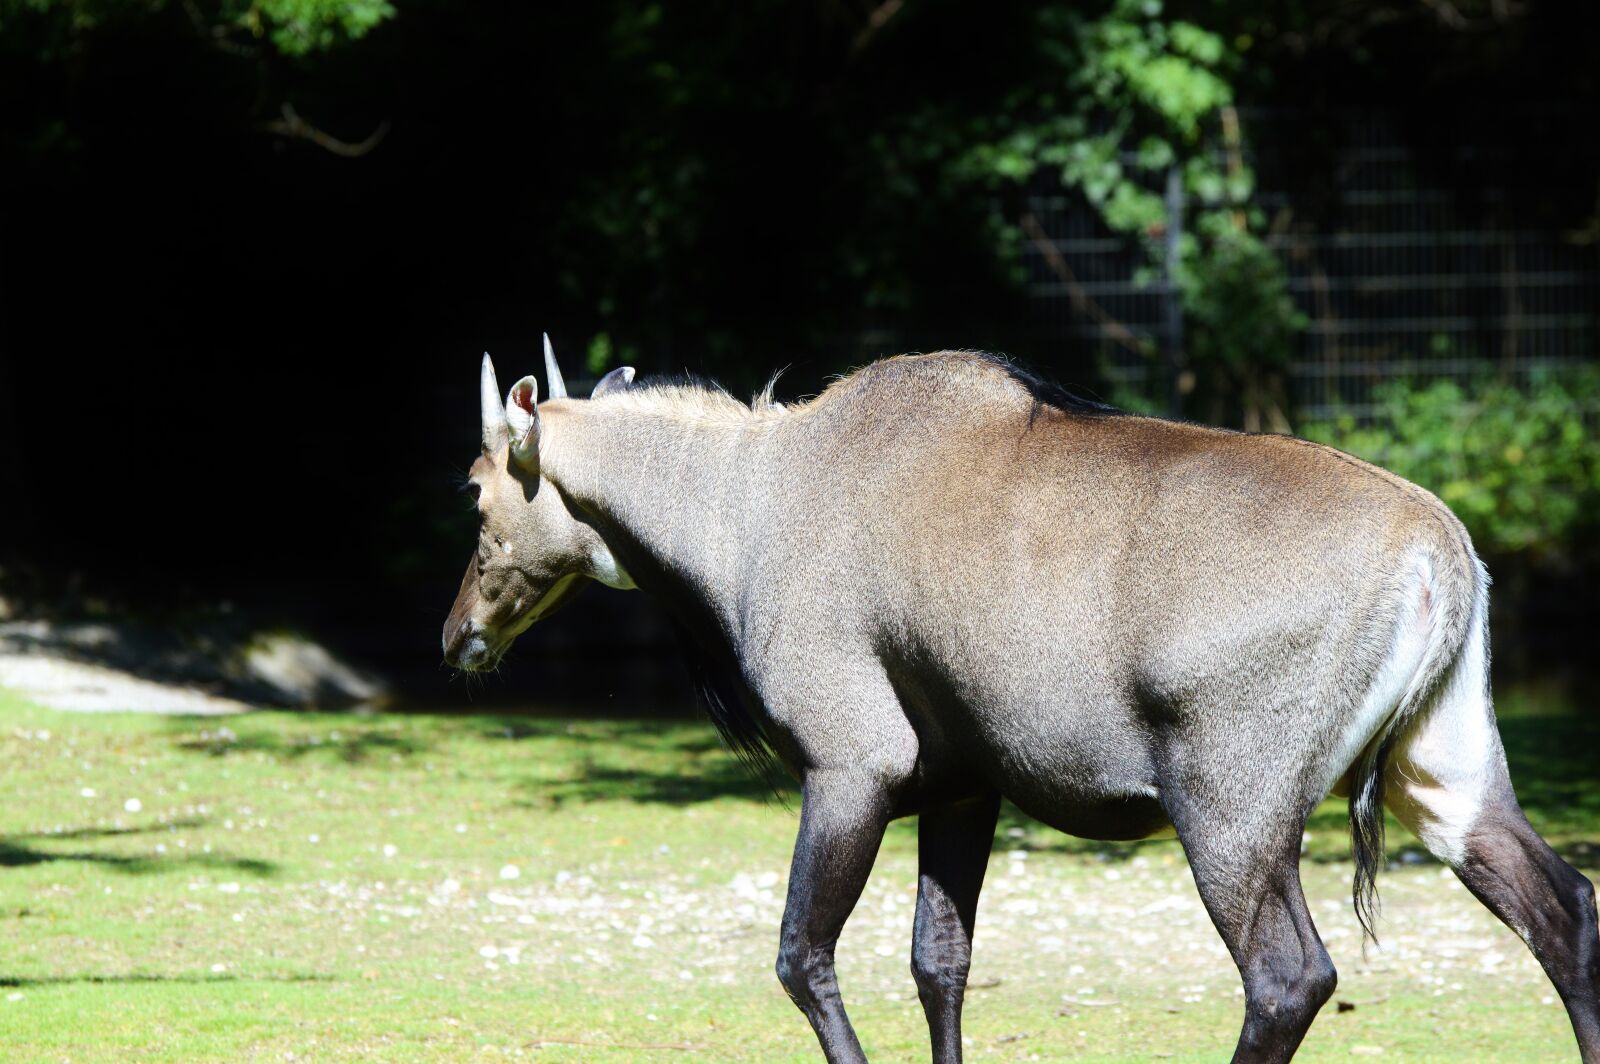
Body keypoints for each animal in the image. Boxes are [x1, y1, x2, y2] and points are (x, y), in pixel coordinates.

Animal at [444, 339, 1599, 1063]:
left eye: (477, 489)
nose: (459, 636)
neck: (749, 501)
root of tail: (1439, 551)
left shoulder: (851, 764)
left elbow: (802, 957)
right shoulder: (962, 785)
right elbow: (939, 962)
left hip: (1232, 814)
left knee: (1288, 977)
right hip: (1443, 775)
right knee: (1565, 909)